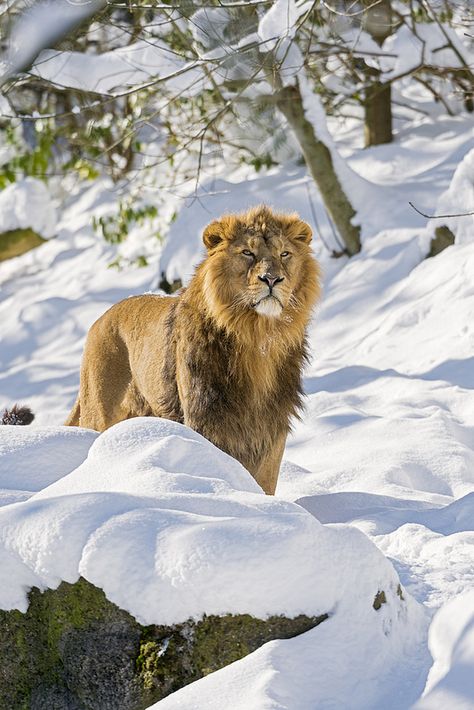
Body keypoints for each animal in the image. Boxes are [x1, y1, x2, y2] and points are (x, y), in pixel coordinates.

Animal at [65, 206, 320, 496]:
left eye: (284, 254)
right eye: (247, 253)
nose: (272, 279)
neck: (258, 338)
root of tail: (100, 319)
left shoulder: (272, 426)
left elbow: (265, 483)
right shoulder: (205, 417)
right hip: (98, 412)